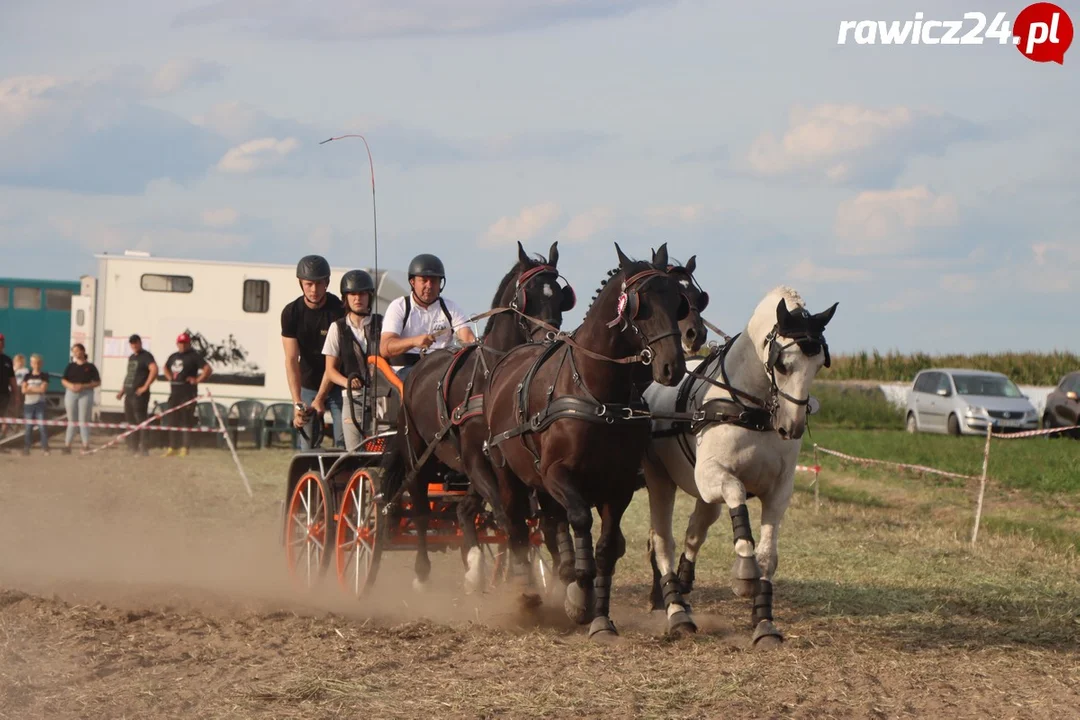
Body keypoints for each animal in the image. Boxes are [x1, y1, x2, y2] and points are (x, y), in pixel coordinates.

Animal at [378, 241, 574, 591]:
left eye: (559, 295)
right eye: (528, 294)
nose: (549, 339)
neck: (492, 375)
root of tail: (421, 367)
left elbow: (535, 519)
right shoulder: (475, 458)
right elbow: (507, 516)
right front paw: (525, 576)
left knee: (466, 511)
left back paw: (474, 568)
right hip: (419, 456)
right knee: (421, 510)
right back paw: (422, 574)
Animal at [483, 245, 686, 639]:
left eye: (676, 300)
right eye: (640, 305)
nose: (674, 367)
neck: (597, 394)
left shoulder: (619, 485)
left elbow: (606, 548)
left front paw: (601, 617)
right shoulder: (557, 475)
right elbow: (579, 521)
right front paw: (579, 597)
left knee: (549, 525)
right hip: (508, 474)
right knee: (516, 528)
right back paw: (528, 594)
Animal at [639, 287, 833, 647]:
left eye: (818, 366)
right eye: (783, 364)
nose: (792, 427)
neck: (750, 409)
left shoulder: (779, 491)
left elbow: (768, 557)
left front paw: (764, 621)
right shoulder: (711, 476)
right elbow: (737, 491)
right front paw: (744, 573)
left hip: (703, 499)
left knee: (694, 532)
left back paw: (683, 584)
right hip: (660, 480)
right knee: (663, 541)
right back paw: (676, 610)